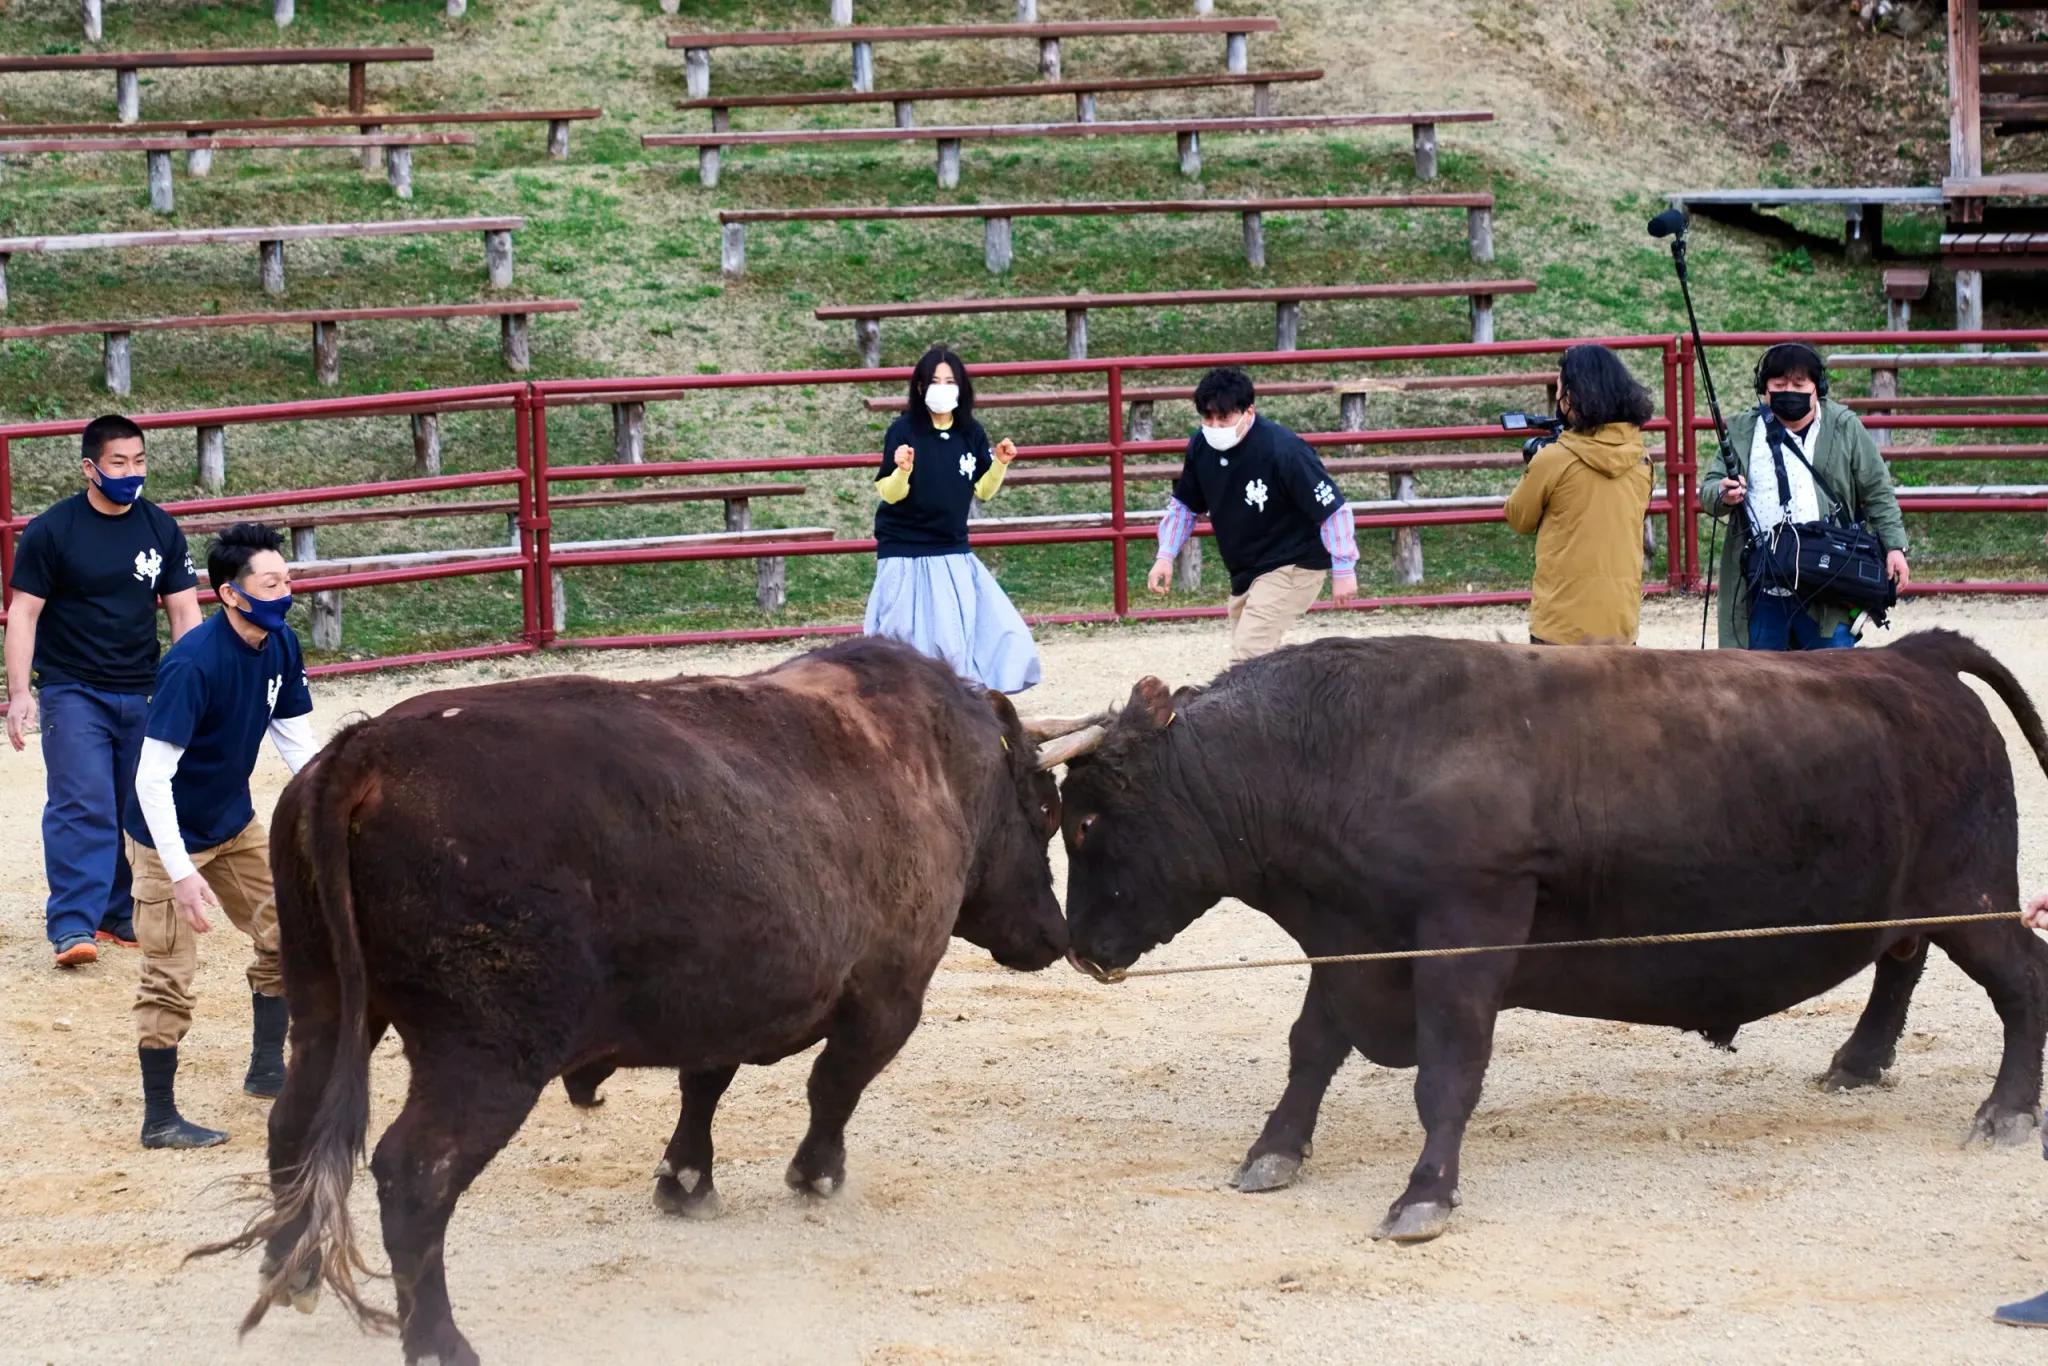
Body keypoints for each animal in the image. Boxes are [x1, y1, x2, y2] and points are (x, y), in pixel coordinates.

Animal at [201, 643, 1081, 1366]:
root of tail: (367, 750)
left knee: (294, 1124)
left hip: (323, 1002)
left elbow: (705, 1086)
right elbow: (833, 1088)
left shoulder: (722, 999)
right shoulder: (889, 996)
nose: (1056, 933)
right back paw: (439, 1341)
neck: (932, 764)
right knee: (417, 1174)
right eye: (1045, 812)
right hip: (485, 1058)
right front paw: (816, 1175)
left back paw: (290, 1269)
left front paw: (686, 1180)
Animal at [1056, 634, 2048, 1253]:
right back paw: (1859, 1061)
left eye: (1088, 819)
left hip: (1976, 896)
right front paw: (1274, 1152)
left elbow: (1446, 1073)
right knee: (1900, 961)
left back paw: (2005, 1110)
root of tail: (1911, 657)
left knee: (2018, 983)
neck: (1347, 751)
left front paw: (1424, 1194)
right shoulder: (1351, 943)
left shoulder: (1464, 935)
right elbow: (1311, 1048)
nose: (1079, 947)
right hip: (1917, 900)